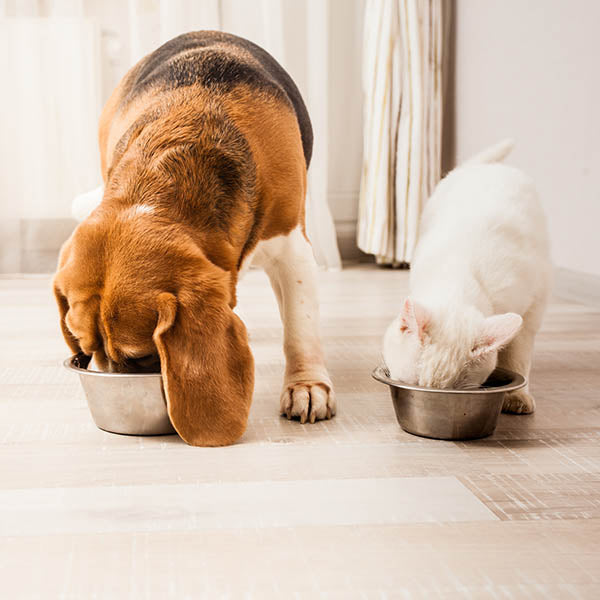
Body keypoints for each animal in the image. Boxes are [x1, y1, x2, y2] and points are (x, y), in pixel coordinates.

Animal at [384, 140, 552, 412]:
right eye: (413, 384)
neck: (457, 279)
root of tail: (484, 167)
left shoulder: (533, 308)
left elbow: (518, 358)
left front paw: (517, 396)